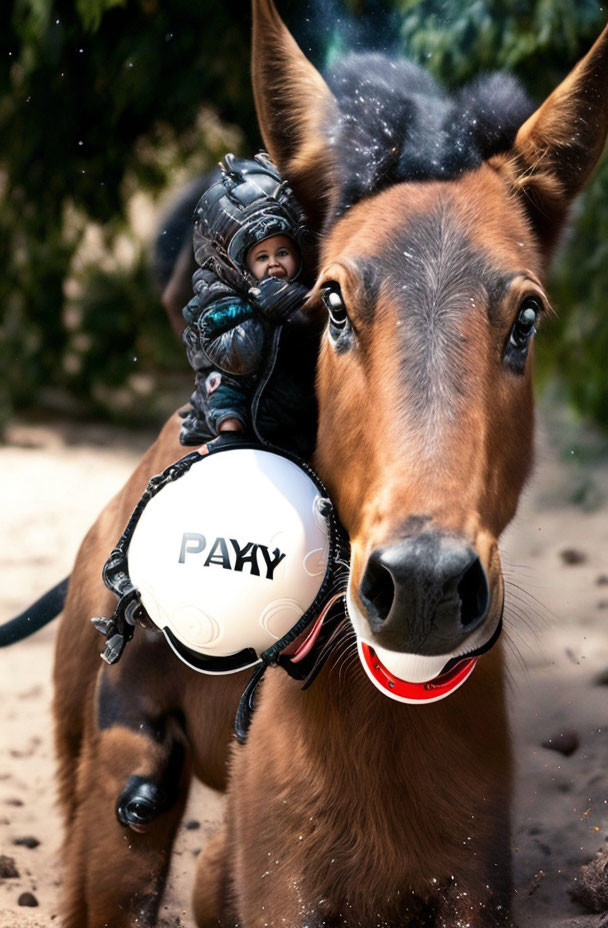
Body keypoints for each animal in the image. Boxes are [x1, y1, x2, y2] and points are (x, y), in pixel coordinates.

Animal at [51, 3, 608, 924]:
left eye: (525, 317)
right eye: (336, 303)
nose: (422, 588)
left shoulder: (473, 883)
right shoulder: (284, 884)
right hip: (113, 814)